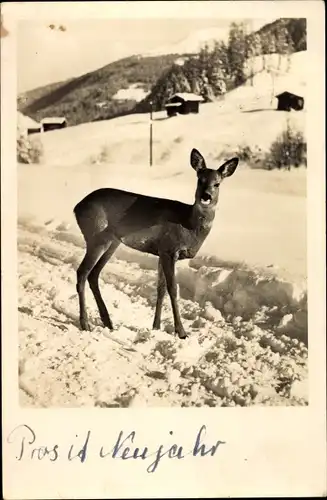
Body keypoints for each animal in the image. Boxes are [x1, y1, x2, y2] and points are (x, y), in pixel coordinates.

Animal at [73, 146, 238, 338]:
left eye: (217, 183)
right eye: (200, 179)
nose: (206, 196)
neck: (188, 225)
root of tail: (76, 207)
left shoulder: (161, 252)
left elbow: (161, 289)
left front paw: (156, 326)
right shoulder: (169, 249)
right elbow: (173, 289)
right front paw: (181, 332)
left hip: (112, 242)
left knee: (93, 274)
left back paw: (108, 321)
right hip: (97, 236)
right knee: (82, 272)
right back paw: (85, 323)